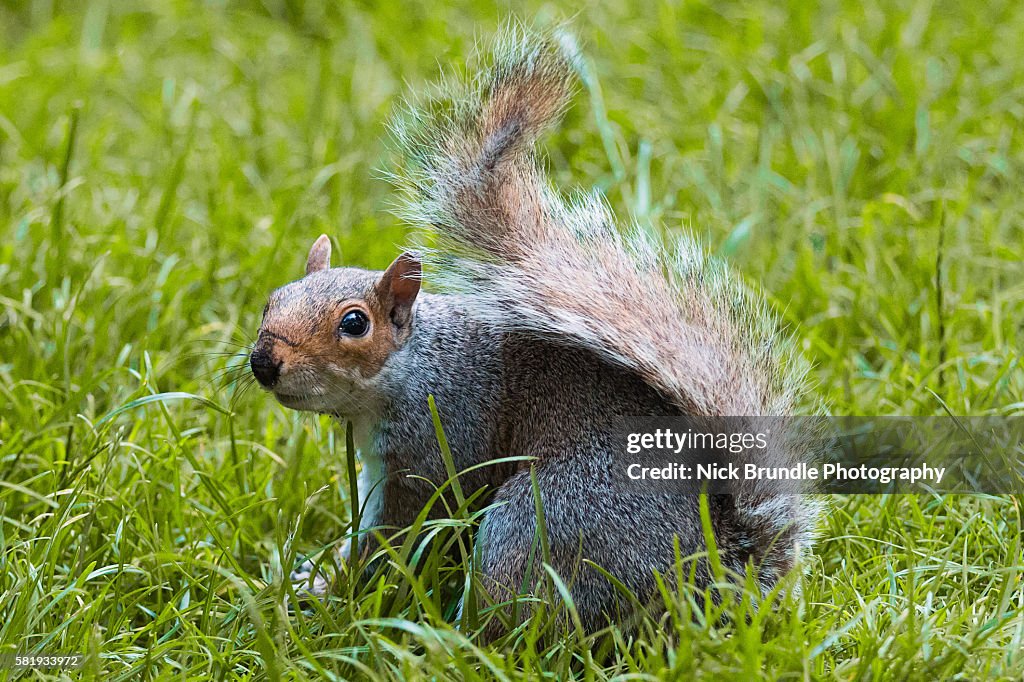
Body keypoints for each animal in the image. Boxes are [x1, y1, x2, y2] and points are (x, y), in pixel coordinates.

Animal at [247, 29, 815, 638]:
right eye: (271, 301)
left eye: (354, 323)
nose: (264, 361)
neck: (415, 366)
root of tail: (712, 580)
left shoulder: (436, 450)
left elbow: (395, 537)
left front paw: (326, 591)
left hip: (536, 528)